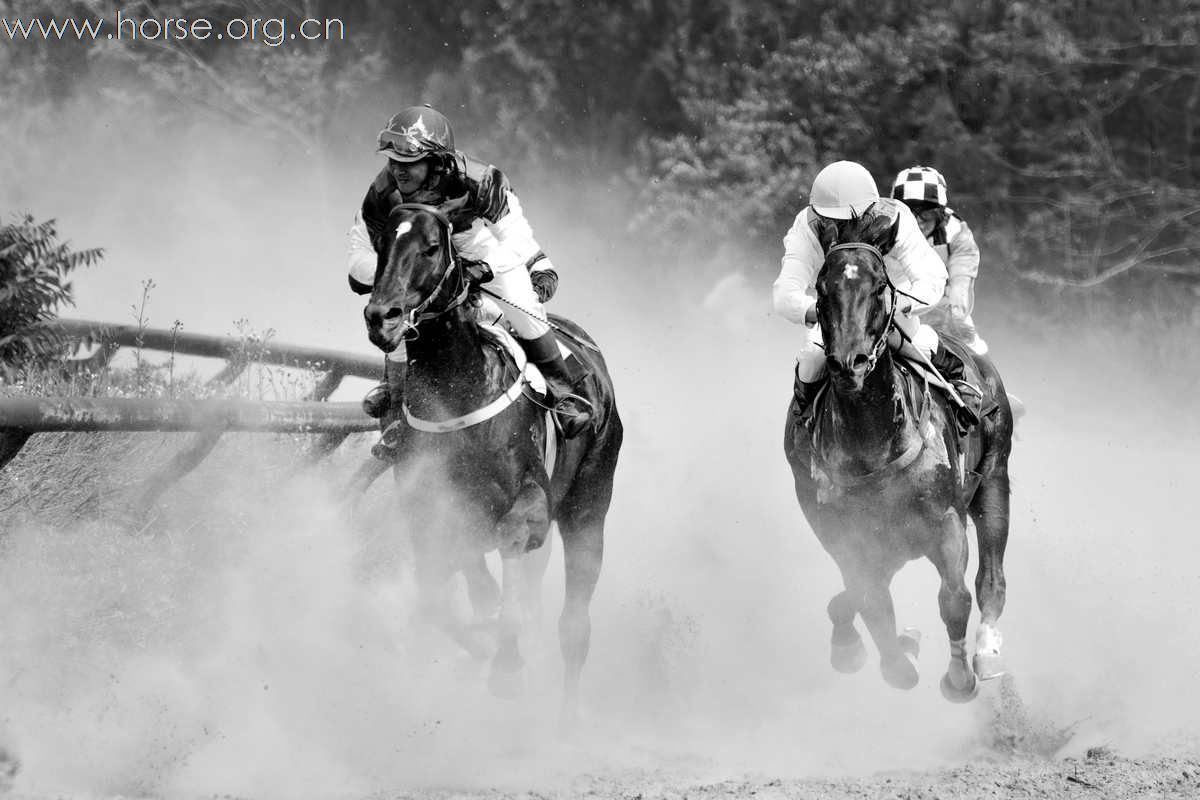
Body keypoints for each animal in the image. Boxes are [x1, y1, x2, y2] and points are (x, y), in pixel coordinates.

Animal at [360, 201, 624, 724]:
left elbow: (511, 544)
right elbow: (443, 596)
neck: (458, 386)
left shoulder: (532, 504)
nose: (383, 317)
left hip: (588, 508)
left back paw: (566, 722)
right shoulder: (431, 512)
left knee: (573, 625)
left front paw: (504, 665)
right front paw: (482, 643)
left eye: (431, 247)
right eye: (382, 244)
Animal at [777, 211, 1012, 700]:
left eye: (879, 286)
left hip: (995, 480)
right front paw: (886, 657)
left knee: (990, 581)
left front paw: (959, 677)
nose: (849, 363)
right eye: (821, 287)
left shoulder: (944, 519)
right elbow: (866, 597)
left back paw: (987, 652)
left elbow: (954, 598)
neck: (871, 440)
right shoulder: (848, 534)